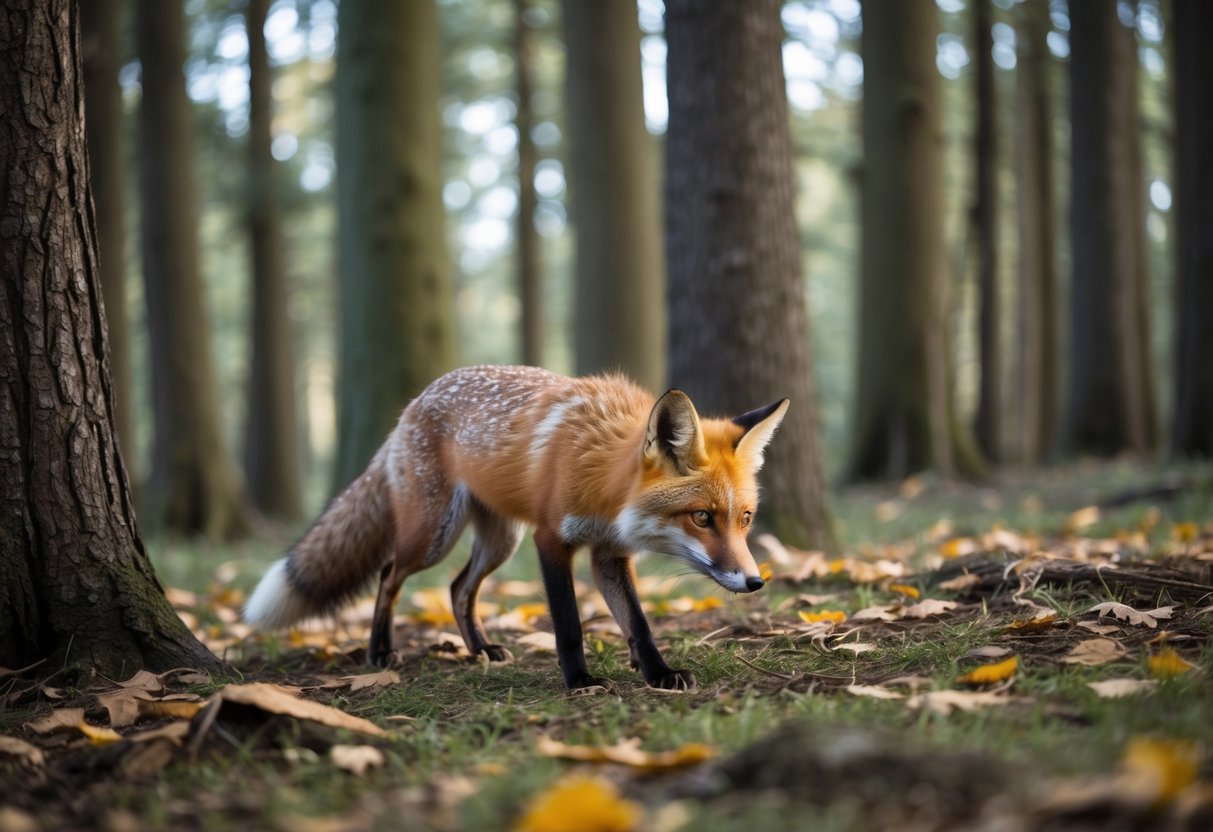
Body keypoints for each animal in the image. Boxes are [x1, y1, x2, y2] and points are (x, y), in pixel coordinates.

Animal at [245, 365, 788, 690]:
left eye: (745, 518)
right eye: (702, 517)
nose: (755, 581)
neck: (603, 475)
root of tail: (414, 403)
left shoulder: (609, 553)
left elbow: (638, 623)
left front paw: (658, 672)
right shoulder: (551, 540)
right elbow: (568, 624)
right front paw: (580, 681)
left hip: (500, 542)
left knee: (458, 589)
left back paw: (481, 649)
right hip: (434, 535)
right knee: (389, 575)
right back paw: (380, 650)